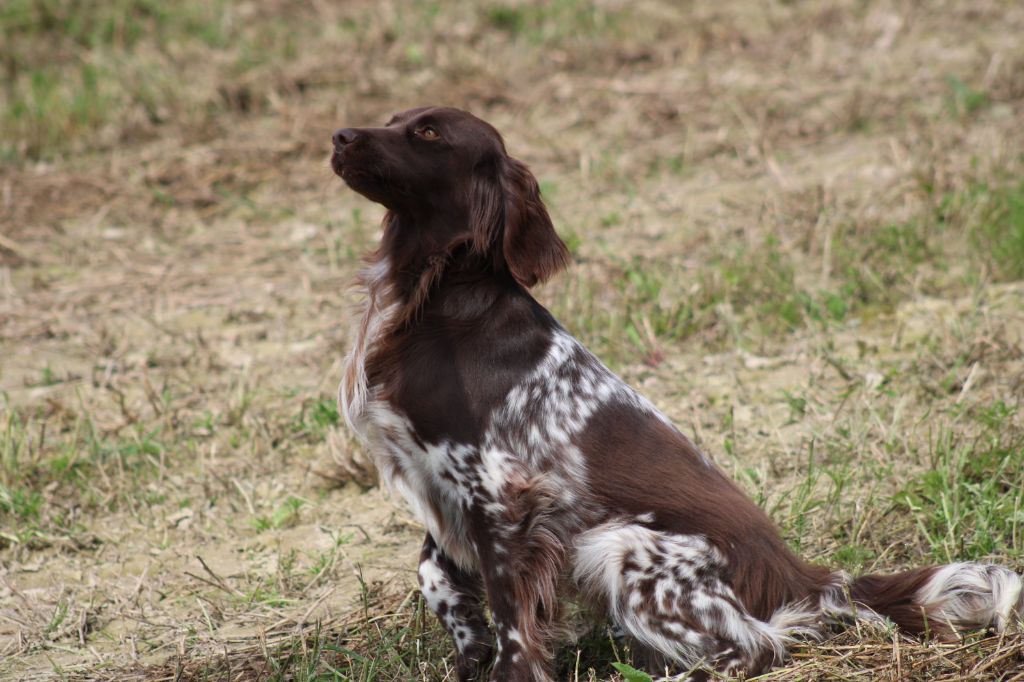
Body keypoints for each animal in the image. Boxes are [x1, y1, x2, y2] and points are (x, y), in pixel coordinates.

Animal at [331, 103, 1019, 675]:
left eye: (427, 133)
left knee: (756, 647)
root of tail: (803, 575)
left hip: (622, 546)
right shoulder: (443, 481)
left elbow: (513, 624)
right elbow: (434, 573)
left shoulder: (498, 492)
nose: (339, 135)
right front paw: (468, 646)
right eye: (393, 119)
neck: (437, 296)